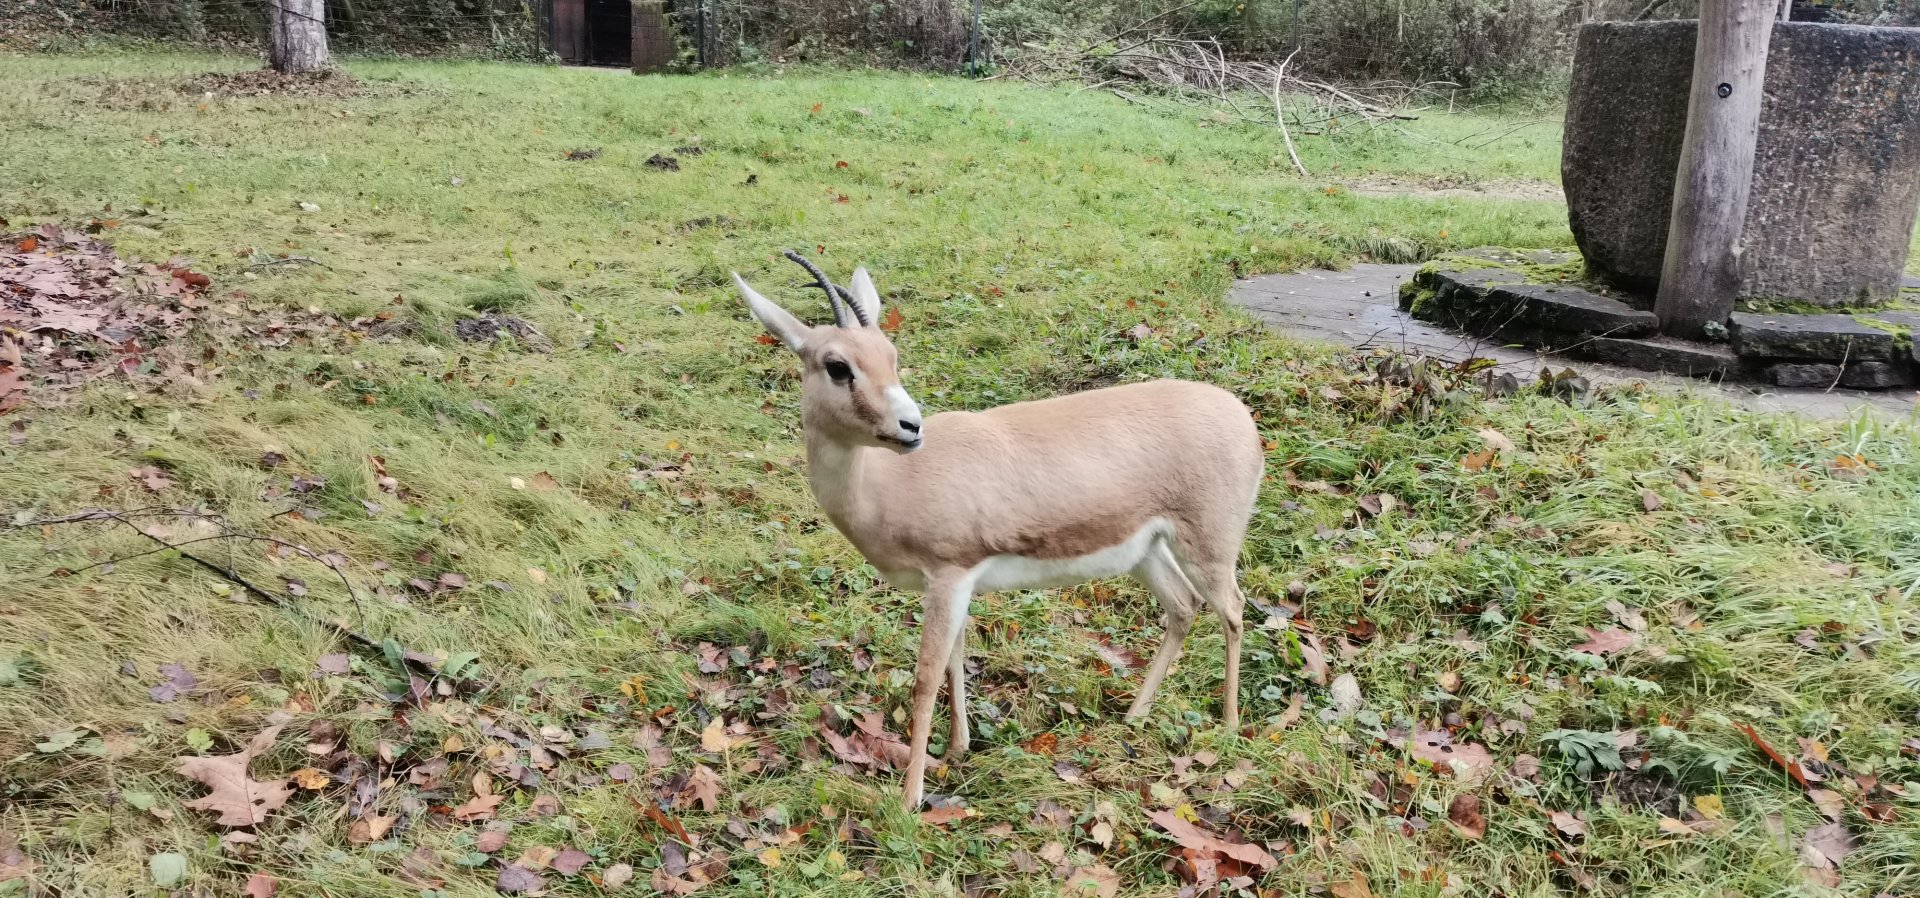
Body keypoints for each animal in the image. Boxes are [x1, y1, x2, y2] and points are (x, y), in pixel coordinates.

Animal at [734, 254, 1264, 810]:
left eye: (890, 356)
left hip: (1208, 547)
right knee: (1183, 607)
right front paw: (956, 750)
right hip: (1146, 553)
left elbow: (927, 677)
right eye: (838, 366)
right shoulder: (955, 585)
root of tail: (1242, 418)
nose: (910, 427)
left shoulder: (948, 575)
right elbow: (955, 659)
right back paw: (1134, 716)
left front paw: (910, 799)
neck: (889, 485)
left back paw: (1229, 727)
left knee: (1232, 609)